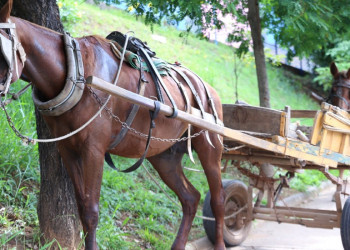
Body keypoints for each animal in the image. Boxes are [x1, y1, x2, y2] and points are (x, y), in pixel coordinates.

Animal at [0, 0, 226, 250]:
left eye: (1, 54)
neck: (76, 71)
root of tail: (209, 88)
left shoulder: (94, 150)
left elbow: (91, 211)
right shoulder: (67, 148)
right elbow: (82, 206)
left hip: (210, 146)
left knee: (218, 200)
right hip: (163, 155)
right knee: (190, 198)